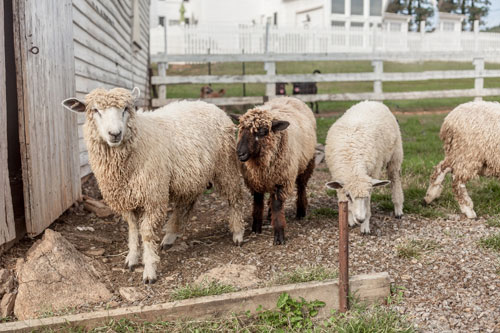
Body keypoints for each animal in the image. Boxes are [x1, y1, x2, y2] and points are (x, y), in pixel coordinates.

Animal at [62, 87, 246, 282]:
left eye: (126, 109)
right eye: (95, 110)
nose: (115, 134)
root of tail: (211, 105)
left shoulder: (153, 197)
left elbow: (147, 234)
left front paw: (149, 270)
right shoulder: (126, 198)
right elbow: (133, 230)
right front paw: (132, 258)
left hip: (226, 166)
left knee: (235, 198)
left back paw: (238, 233)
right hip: (191, 176)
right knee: (186, 204)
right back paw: (170, 236)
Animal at [231, 96, 316, 244]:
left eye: (262, 131)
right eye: (240, 129)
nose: (240, 153)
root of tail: (289, 97)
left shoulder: (281, 180)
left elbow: (277, 206)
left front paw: (279, 235)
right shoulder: (255, 181)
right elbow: (258, 203)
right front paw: (256, 227)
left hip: (307, 163)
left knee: (301, 187)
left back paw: (300, 212)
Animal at [326, 100, 404, 233]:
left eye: (366, 196)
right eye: (348, 195)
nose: (360, 219)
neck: (353, 166)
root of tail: (372, 101)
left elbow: (367, 208)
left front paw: (365, 227)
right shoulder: (339, 177)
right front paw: (350, 220)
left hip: (395, 154)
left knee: (395, 179)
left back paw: (398, 208)